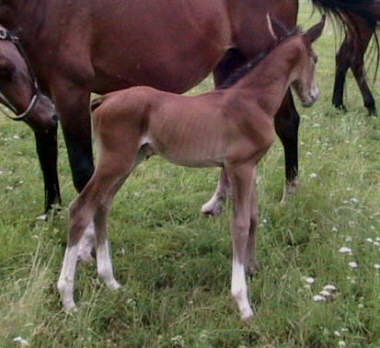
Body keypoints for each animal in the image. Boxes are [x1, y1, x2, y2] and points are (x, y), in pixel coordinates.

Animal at [58, 17, 326, 320]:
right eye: (315, 59)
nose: (313, 96)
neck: (253, 100)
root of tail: (105, 100)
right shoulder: (240, 167)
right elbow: (240, 224)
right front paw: (242, 301)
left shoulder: (251, 166)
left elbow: (254, 217)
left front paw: (252, 267)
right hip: (116, 160)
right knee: (81, 208)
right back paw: (68, 298)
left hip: (127, 161)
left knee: (102, 205)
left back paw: (110, 281)